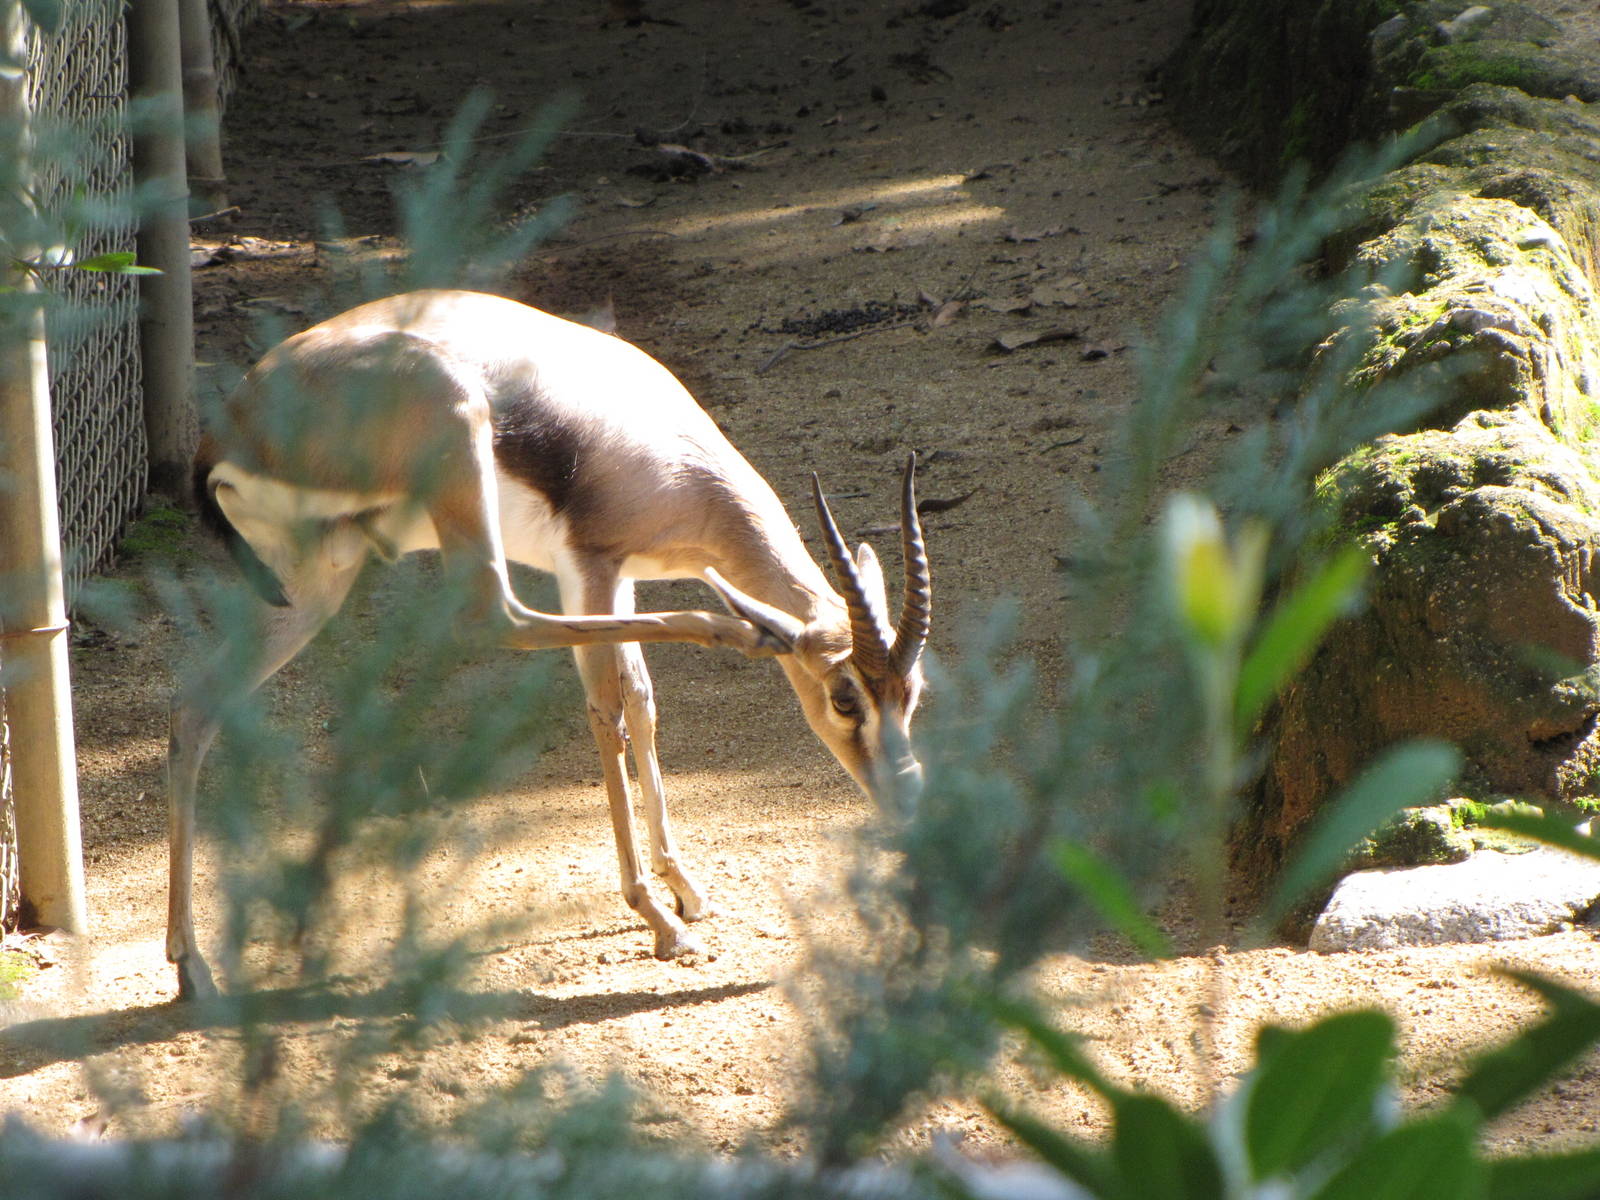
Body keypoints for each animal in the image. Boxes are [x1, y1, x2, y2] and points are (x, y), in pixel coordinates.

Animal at [167, 288, 931, 999]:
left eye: (914, 692)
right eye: (844, 698)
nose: (906, 795)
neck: (665, 450)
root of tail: (224, 434)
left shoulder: (622, 579)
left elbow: (644, 703)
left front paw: (685, 889)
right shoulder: (590, 567)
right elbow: (607, 711)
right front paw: (660, 920)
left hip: (316, 578)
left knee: (196, 708)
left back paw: (191, 966)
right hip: (453, 453)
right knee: (492, 616)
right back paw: (740, 631)